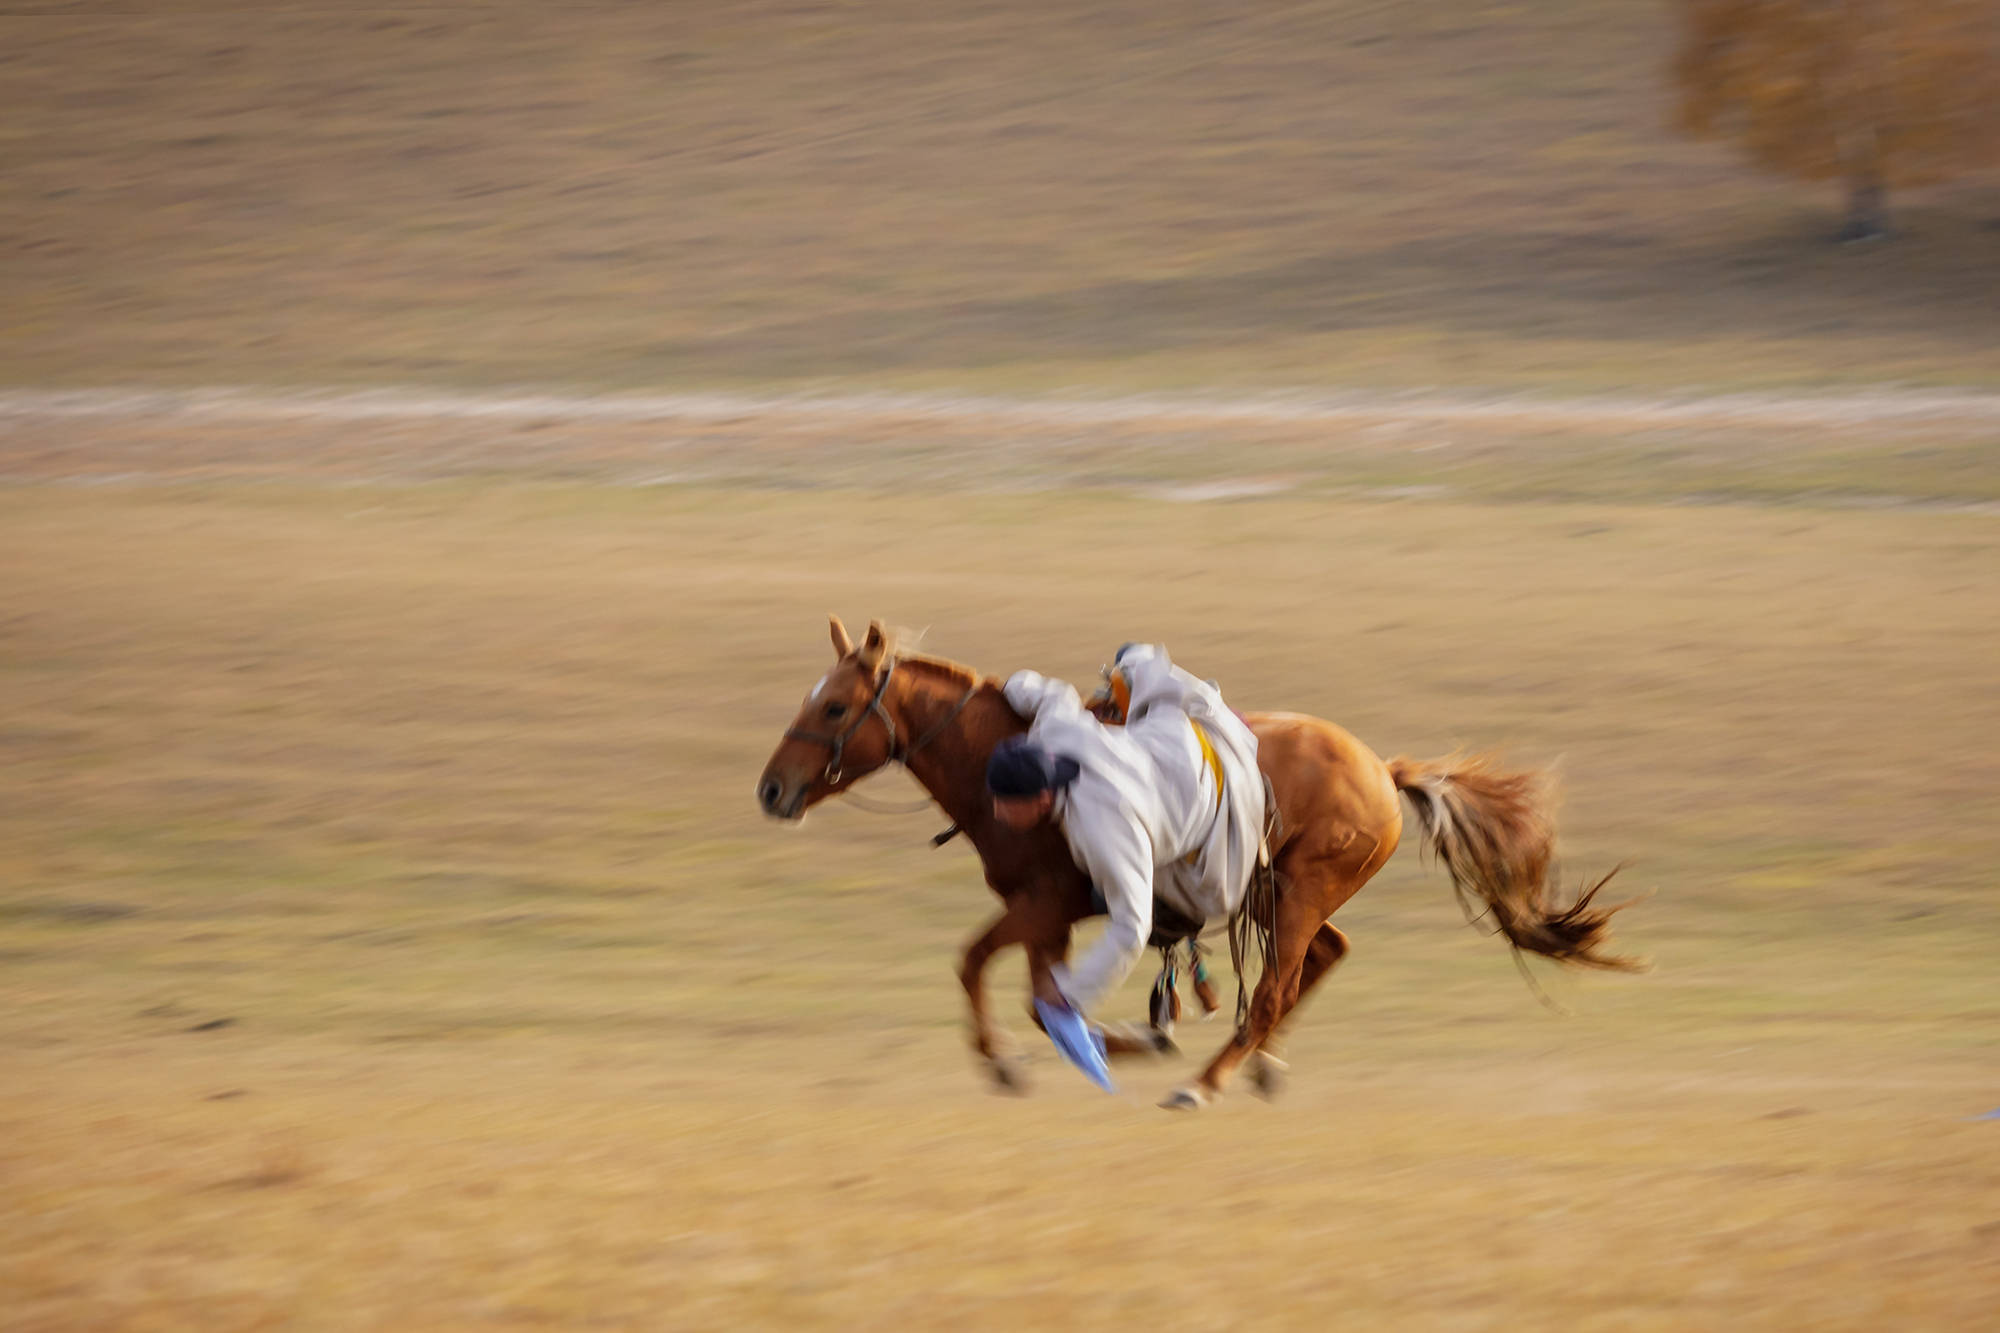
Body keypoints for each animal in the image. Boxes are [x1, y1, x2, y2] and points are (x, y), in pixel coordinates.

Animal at [756, 616, 1632, 1104]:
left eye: (834, 705)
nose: (772, 788)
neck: (1023, 763)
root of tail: (1384, 771)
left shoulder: (1056, 902)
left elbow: (1010, 981)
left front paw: (1103, 1048)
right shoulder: (1046, 914)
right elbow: (1017, 981)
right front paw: (1062, 1051)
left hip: (1301, 889)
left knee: (1276, 986)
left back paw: (1204, 1081)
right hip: (1280, 894)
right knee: (1322, 958)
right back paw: (1260, 1064)